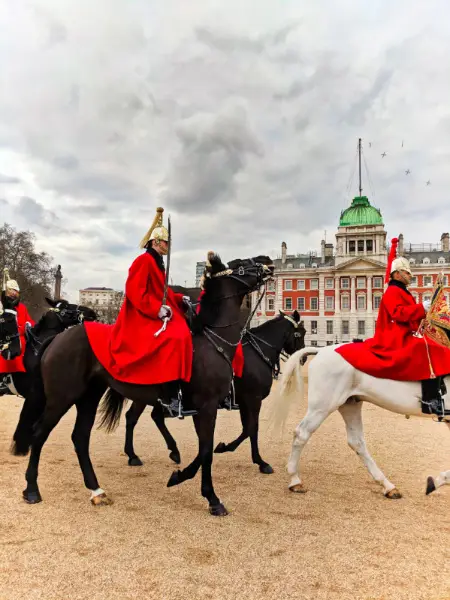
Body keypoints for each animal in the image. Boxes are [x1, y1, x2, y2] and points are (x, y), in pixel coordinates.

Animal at [15, 253, 272, 516]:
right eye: (240, 265)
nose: (268, 262)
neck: (213, 342)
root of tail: (57, 337)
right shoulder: (208, 406)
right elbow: (207, 451)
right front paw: (210, 496)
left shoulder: (205, 408)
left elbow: (206, 449)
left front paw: (182, 476)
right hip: (62, 397)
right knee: (40, 433)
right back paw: (32, 489)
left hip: (89, 396)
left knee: (80, 437)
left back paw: (96, 489)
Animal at [123, 310, 306, 474]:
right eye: (300, 333)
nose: (303, 357)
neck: (258, 352)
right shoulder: (253, 399)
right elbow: (252, 428)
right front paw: (258, 461)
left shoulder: (244, 400)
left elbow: (247, 428)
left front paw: (225, 447)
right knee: (139, 417)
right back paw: (138, 454)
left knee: (144, 417)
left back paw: (156, 453)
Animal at [270, 344, 450, 500]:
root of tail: (322, 350)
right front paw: (437, 481)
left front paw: (436, 482)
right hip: (323, 406)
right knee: (302, 434)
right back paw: (295, 480)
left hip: (350, 404)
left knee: (356, 442)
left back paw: (387, 486)